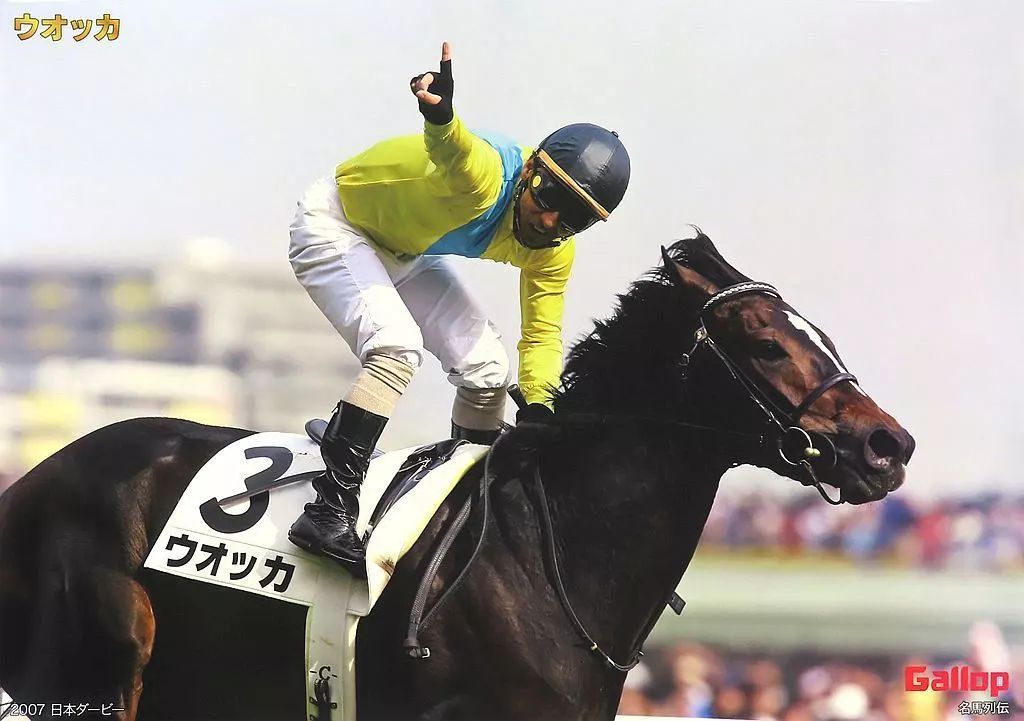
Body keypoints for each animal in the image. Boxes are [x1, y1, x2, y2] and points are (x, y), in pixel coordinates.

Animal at [0, 233, 914, 720]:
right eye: (767, 342)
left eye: (820, 332)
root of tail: (28, 483)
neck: (550, 550)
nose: (887, 443)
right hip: (91, 669)